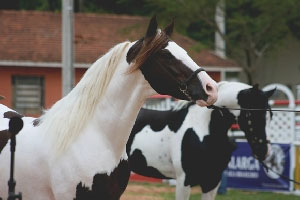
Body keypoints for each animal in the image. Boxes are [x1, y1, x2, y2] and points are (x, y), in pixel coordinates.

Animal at [125, 81, 276, 200]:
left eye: (270, 114)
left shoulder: (212, 181)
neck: (202, 128)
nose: (264, 151)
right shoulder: (184, 181)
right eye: (251, 114)